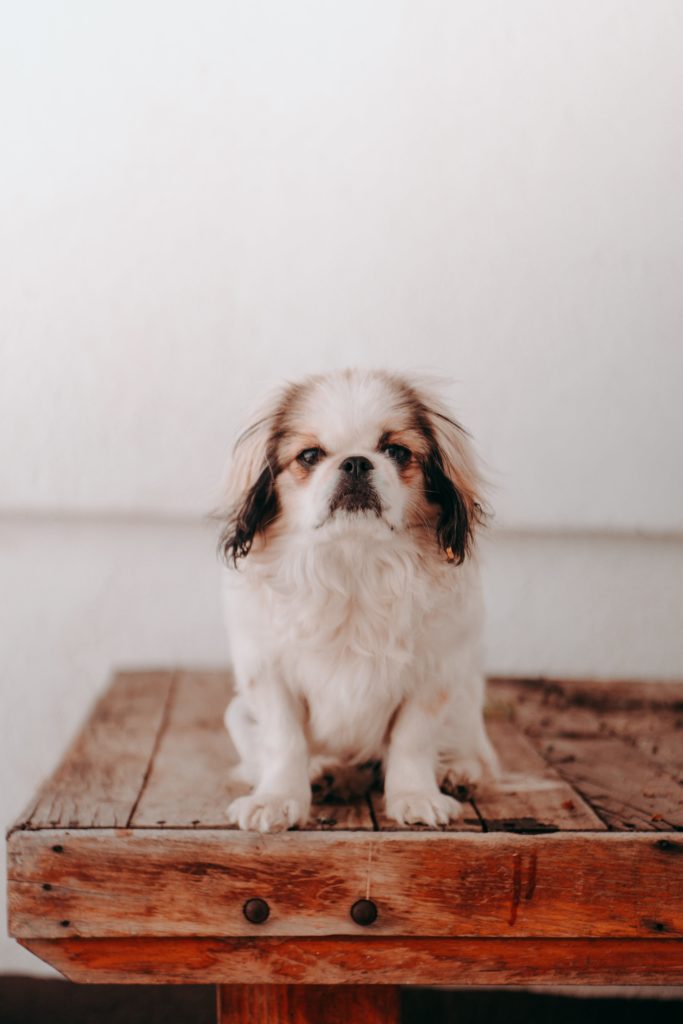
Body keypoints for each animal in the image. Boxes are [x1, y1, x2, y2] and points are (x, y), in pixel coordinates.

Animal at [219, 368, 497, 831]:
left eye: (396, 451)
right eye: (310, 456)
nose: (354, 461)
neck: (353, 563)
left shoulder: (435, 676)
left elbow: (411, 740)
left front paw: (415, 796)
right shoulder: (268, 676)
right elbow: (283, 742)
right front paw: (278, 799)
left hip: (464, 699)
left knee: (478, 754)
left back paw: (459, 771)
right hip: (238, 713)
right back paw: (324, 770)